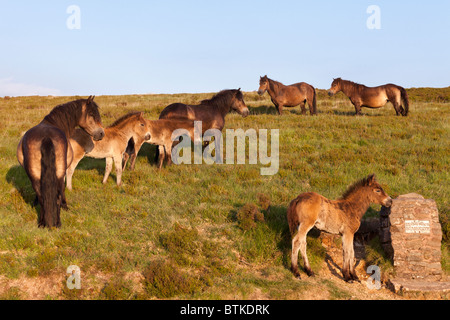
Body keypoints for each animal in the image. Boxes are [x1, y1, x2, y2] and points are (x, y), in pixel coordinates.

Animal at [16, 96, 104, 229]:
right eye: (91, 114)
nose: (101, 134)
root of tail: (46, 137)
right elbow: (63, 188)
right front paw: (65, 205)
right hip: (58, 173)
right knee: (56, 196)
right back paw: (57, 223)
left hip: (34, 175)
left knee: (42, 197)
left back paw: (42, 223)